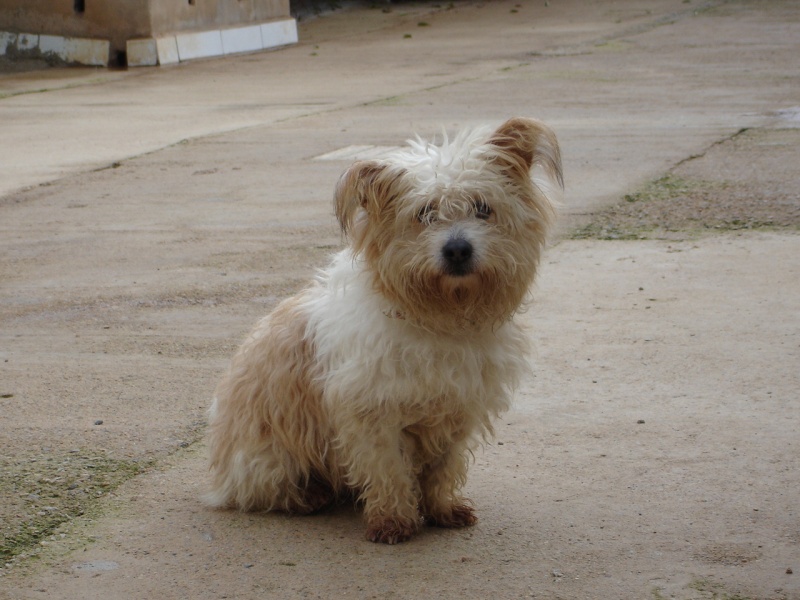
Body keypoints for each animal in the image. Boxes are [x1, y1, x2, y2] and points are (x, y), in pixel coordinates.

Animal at [206, 116, 564, 544]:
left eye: (482, 208)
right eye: (424, 213)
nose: (457, 250)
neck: (438, 318)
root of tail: (222, 476)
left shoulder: (457, 409)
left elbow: (442, 467)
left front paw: (441, 508)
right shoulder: (372, 413)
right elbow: (388, 468)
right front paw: (394, 520)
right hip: (269, 457)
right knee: (267, 490)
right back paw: (309, 495)